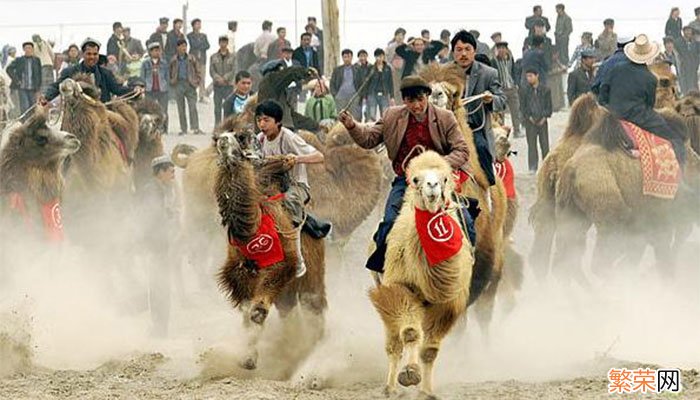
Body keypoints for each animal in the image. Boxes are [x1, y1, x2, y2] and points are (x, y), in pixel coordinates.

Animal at [215, 131, 326, 372]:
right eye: (216, 139)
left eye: (240, 137)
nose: (221, 139)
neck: (251, 228)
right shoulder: (240, 275)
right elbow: (248, 313)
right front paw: (248, 358)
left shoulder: (280, 267)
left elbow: (257, 312)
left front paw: (249, 360)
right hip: (288, 291)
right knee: (288, 309)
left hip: (312, 275)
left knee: (315, 305)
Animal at [370, 152, 474, 398]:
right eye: (416, 179)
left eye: (445, 179)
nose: (432, 187)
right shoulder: (400, 289)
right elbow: (409, 333)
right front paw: (409, 373)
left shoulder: (448, 304)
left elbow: (430, 351)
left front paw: (426, 390)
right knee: (394, 344)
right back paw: (389, 387)